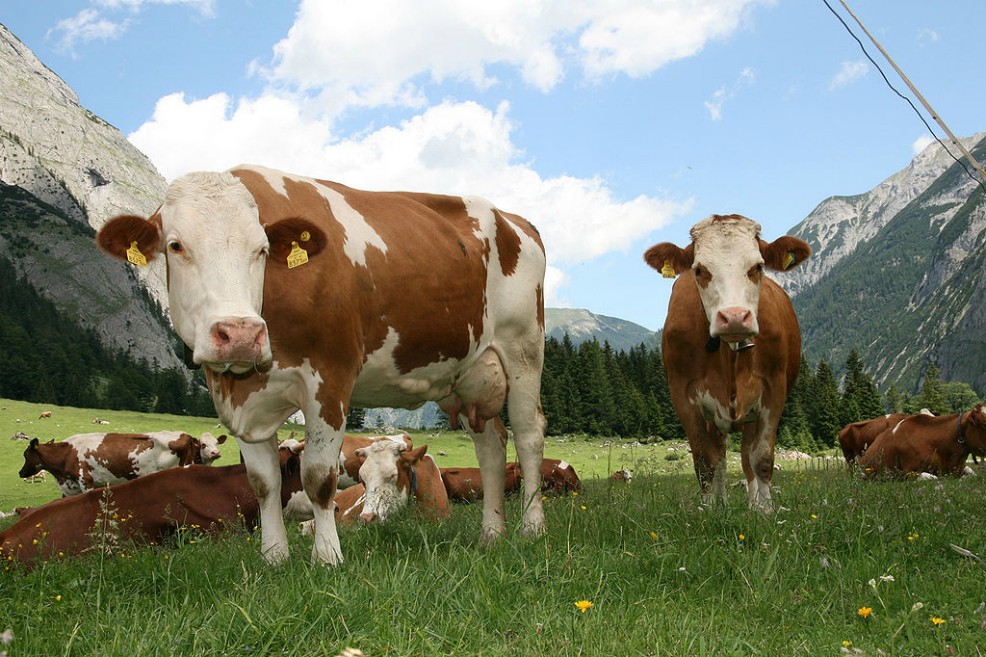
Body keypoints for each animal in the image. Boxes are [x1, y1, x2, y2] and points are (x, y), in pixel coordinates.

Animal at [96, 165, 547, 565]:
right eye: (176, 246)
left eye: (261, 249)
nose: (240, 333)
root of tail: (515, 220)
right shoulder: (242, 398)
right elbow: (263, 483)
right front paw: (274, 558)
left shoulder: (330, 379)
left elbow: (317, 477)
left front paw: (328, 557)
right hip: (473, 373)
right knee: (491, 445)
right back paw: (491, 535)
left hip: (524, 349)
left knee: (528, 435)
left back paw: (531, 528)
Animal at [645, 214, 811, 512]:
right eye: (699, 270)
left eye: (758, 266)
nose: (734, 317)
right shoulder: (683, 395)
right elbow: (705, 461)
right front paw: (710, 510)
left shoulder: (774, 390)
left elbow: (761, 458)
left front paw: (765, 510)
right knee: (720, 457)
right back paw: (722, 502)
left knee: (745, 457)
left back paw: (753, 503)